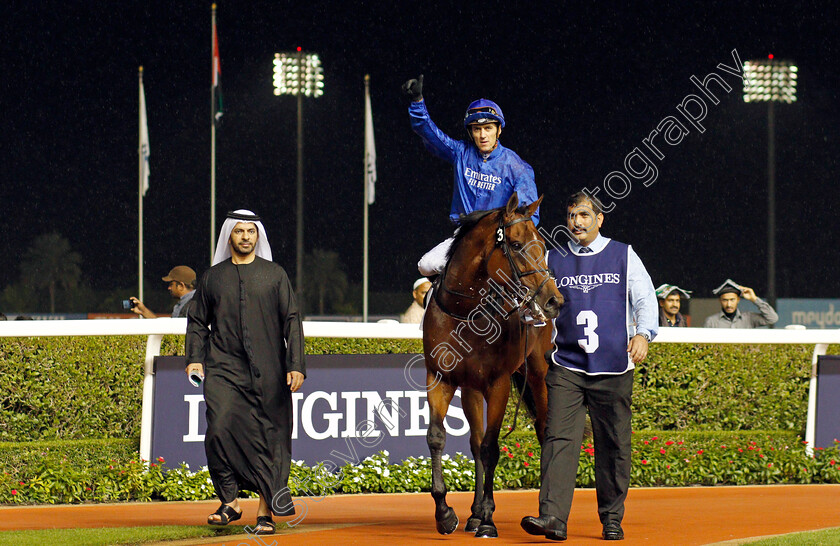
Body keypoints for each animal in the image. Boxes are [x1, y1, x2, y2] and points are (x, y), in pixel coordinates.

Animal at [420, 190, 564, 536]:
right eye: (516, 244)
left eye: (543, 245)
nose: (553, 300)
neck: (465, 311)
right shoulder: (440, 377)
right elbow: (438, 437)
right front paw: (445, 513)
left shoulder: (497, 384)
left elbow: (491, 447)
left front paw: (488, 517)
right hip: (470, 388)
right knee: (474, 442)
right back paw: (471, 514)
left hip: (537, 373)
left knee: (542, 430)